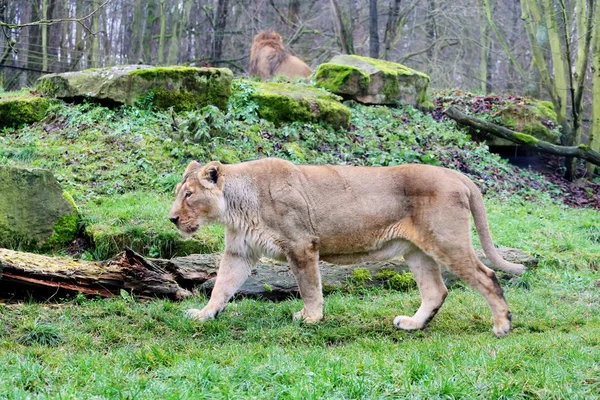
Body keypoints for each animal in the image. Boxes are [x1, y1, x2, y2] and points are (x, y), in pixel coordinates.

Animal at [169, 158, 524, 336]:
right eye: (178, 193)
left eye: (189, 194)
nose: (171, 218)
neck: (236, 206)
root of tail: (459, 176)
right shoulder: (239, 252)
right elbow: (222, 287)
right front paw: (204, 315)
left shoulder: (301, 244)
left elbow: (309, 287)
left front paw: (311, 319)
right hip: (417, 251)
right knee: (436, 291)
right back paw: (413, 324)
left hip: (447, 241)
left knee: (487, 276)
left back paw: (502, 326)